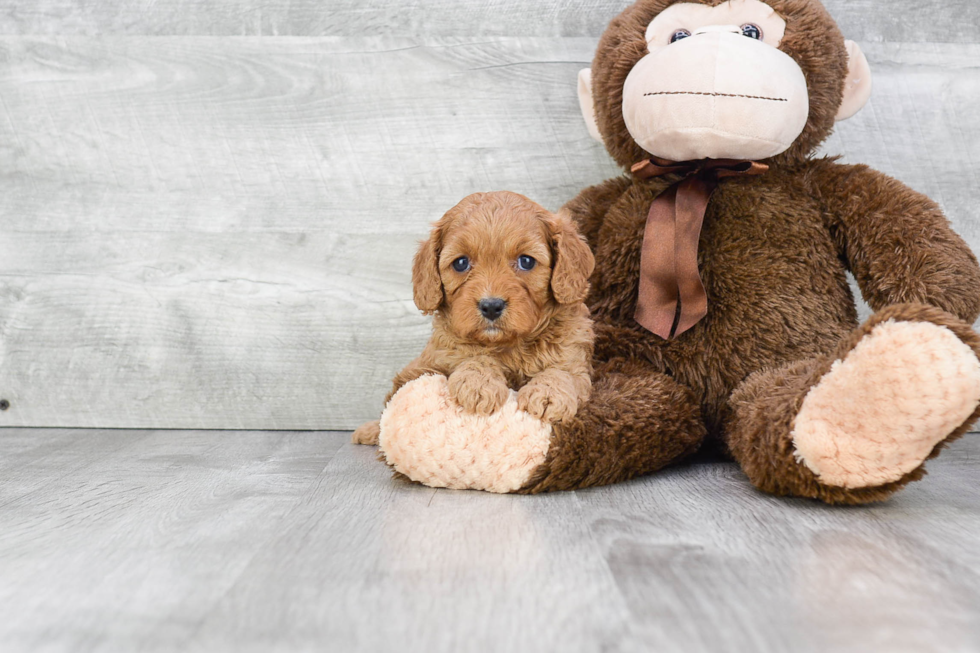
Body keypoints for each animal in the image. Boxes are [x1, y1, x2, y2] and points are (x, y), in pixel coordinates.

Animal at [354, 188, 596, 444]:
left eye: (526, 261)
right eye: (461, 263)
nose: (491, 306)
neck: (509, 346)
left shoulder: (576, 359)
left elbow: (564, 372)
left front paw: (548, 394)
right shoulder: (431, 362)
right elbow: (471, 358)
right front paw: (479, 383)